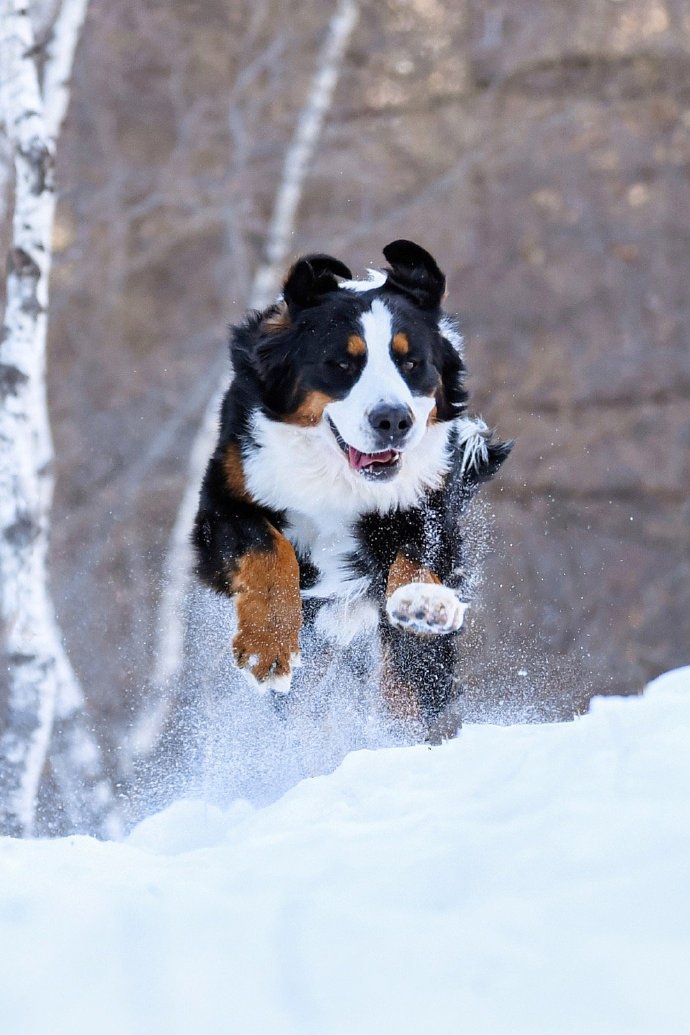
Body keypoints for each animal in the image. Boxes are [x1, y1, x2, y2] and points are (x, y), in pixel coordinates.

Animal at [191, 238, 511, 736]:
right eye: (342, 363)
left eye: (412, 362)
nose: (393, 420)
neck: (338, 476)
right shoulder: (226, 498)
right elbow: (267, 549)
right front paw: (268, 648)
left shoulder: (429, 499)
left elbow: (417, 553)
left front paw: (422, 605)